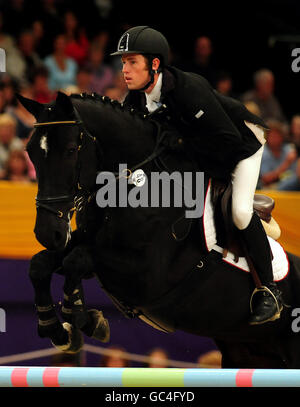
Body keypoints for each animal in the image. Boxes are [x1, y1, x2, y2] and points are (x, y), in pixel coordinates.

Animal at [18, 92, 300, 370]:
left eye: (69, 150)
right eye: (30, 152)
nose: (46, 233)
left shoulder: (146, 274)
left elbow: (76, 260)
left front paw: (80, 317)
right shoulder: (86, 242)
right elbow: (40, 264)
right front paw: (58, 329)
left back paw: (268, 304)